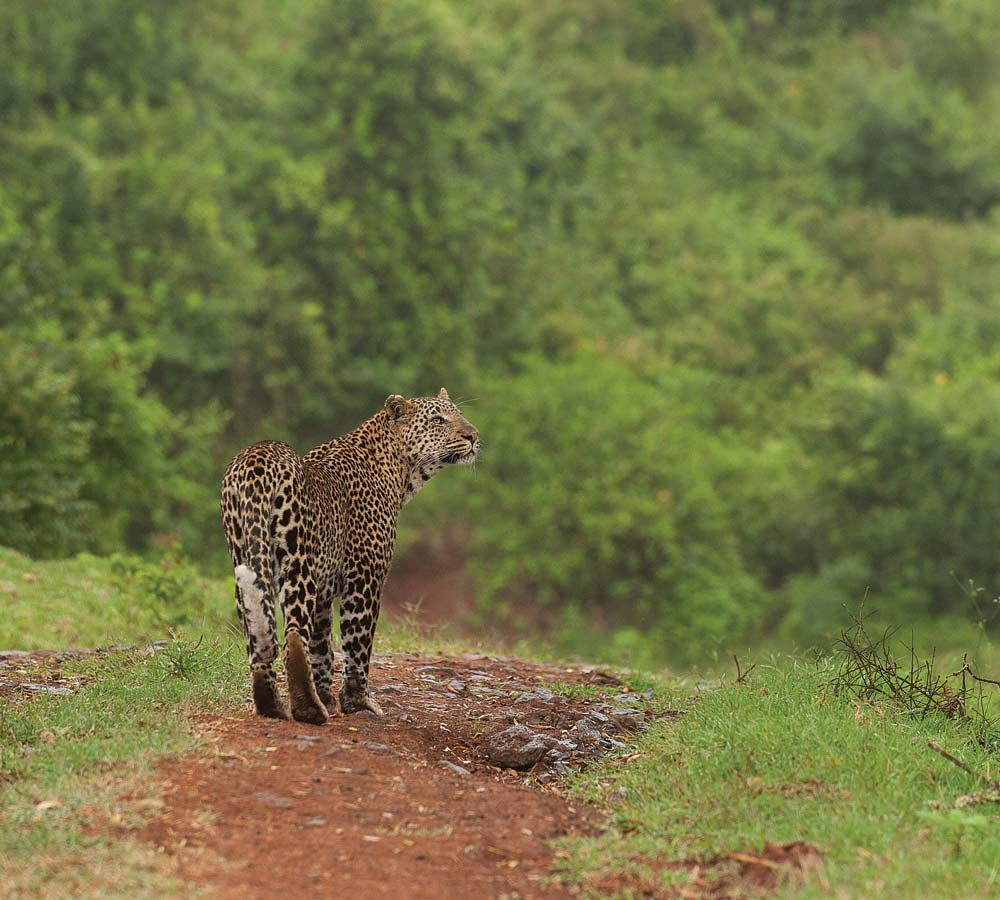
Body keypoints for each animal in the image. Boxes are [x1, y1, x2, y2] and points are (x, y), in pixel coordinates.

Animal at [221, 388, 478, 724]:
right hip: (297, 563)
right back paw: (308, 709)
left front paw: (329, 698)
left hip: (245, 556)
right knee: (294, 634)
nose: (473, 435)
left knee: (257, 632)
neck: (400, 471)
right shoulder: (364, 577)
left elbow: (322, 649)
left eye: (459, 415)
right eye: (438, 420)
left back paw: (272, 706)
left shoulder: (324, 594)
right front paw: (357, 702)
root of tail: (257, 458)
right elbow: (358, 643)